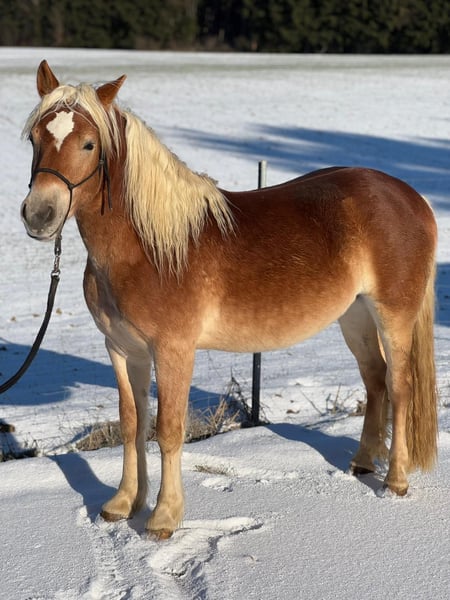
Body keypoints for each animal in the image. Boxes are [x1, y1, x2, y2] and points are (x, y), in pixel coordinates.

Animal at [21, 60, 438, 539]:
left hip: (393, 316)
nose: (39, 215)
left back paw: (396, 481)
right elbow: (131, 423)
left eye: (89, 144)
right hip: (355, 317)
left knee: (399, 386)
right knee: (375, 380)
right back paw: (363, 463)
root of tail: (412, 197)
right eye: (35, 138)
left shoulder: (174, 351)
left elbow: (168, 429)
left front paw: (163, 517)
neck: (150, 247)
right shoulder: (123, 350)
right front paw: (124, 504)